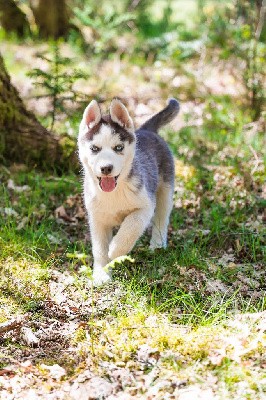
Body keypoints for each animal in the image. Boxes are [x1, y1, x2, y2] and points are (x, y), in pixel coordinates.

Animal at [78, 97, 180, 284]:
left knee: (162, 217)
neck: (113, 193)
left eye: (118, 148)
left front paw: (115, 250)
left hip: (165, 189)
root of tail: (146, 130)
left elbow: (131, 226)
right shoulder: (97, 218)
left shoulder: (145, 205)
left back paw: (157, 243)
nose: (106, 168)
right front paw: (101, 274)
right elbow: (99, 249)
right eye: (95, 149)